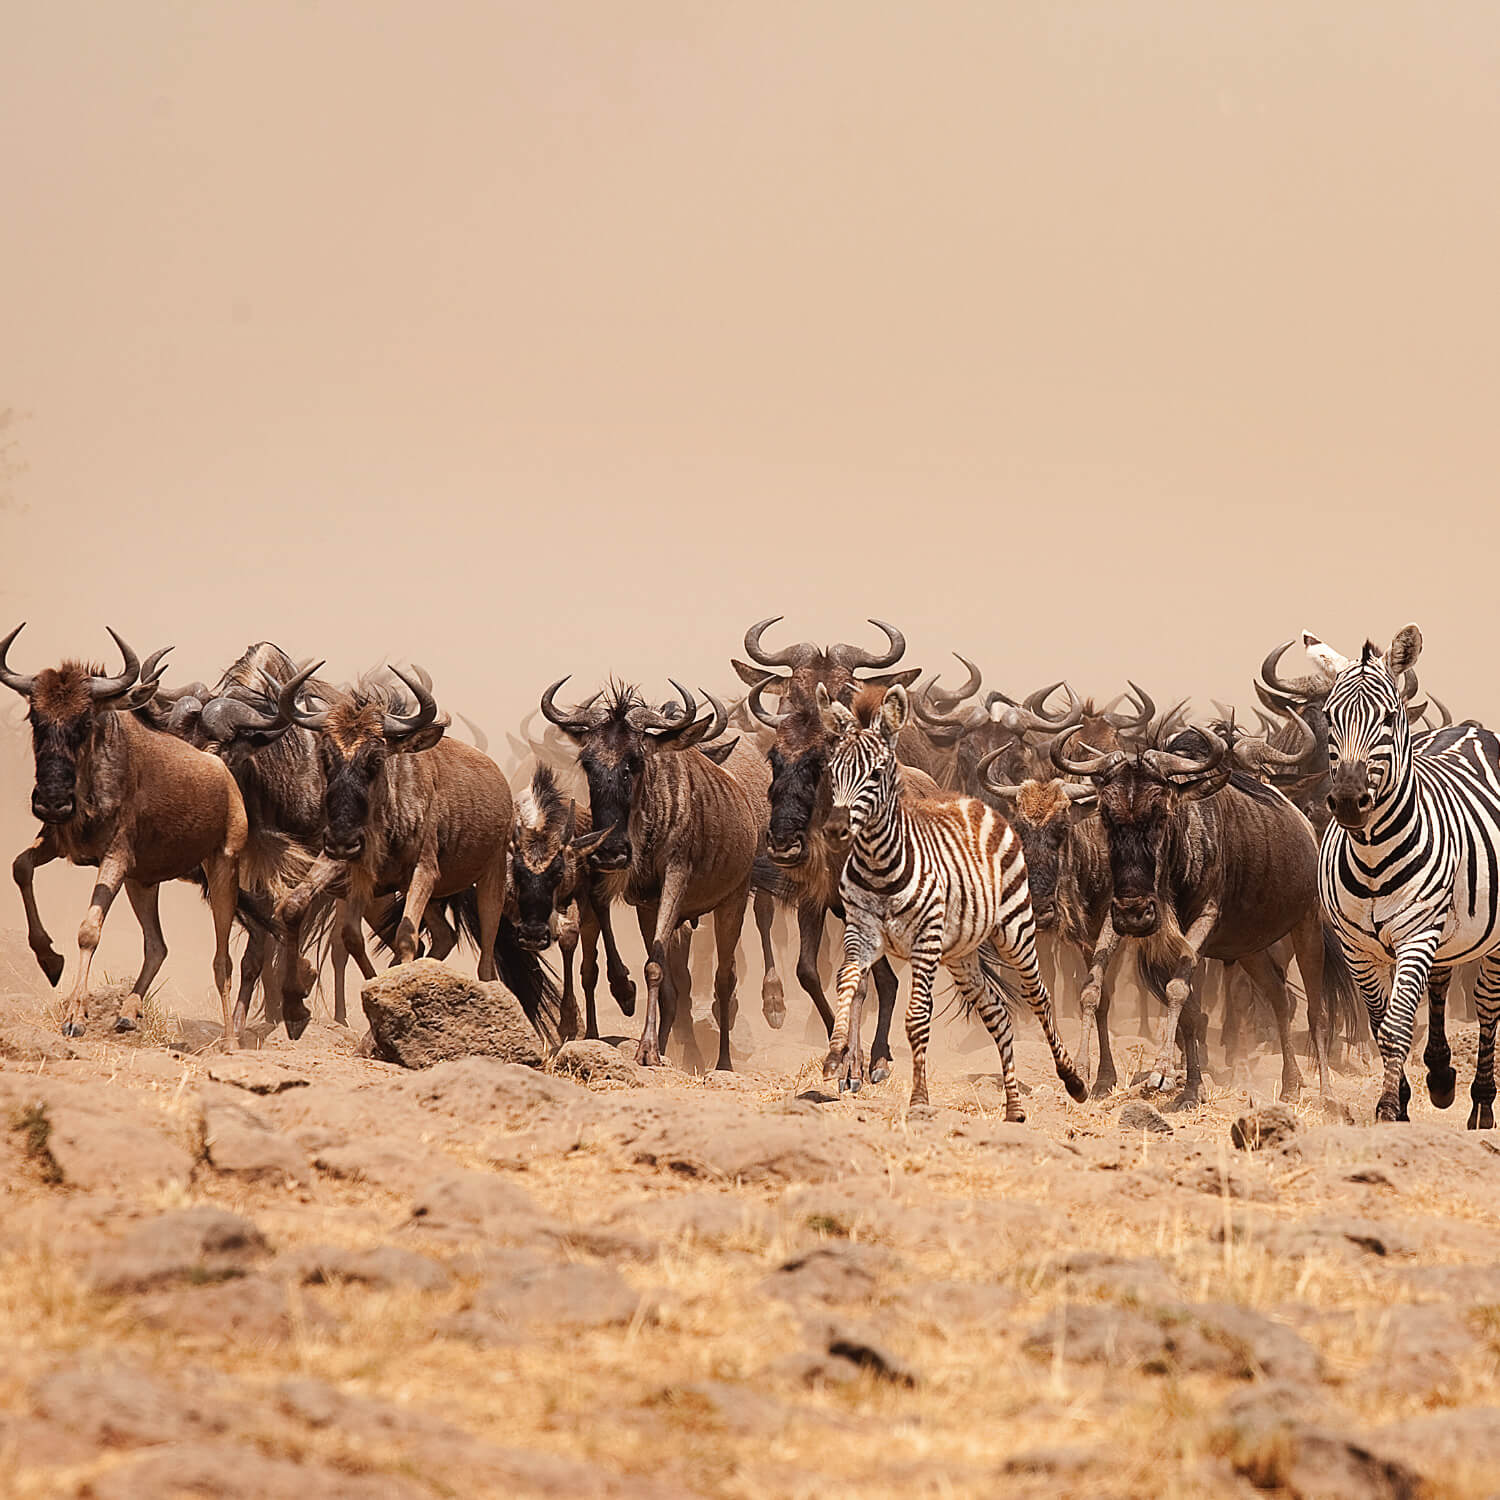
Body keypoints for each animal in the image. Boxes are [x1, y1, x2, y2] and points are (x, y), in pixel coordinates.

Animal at [816, 681, 1086, 1116]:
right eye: (832, 771)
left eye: (877, 772)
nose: (836, 829)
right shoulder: (859, 930)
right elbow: (850, 982)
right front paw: (840, 1060)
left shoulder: (926, 940)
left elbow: (916, 1016)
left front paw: (916, 1097)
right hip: (961, 953)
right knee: (995, 1010)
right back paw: (1013, 1108)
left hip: (1016, 933)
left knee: (1038, 994)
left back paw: (1073, 1081)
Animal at [1302, 621, 1500, 1128]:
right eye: (1328, 717)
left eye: (1390, 717)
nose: (1348, 802)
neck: (1372, 857)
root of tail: (1471, 729)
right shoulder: (1356, 947)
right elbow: (1380, 1025)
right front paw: (1406, 1099)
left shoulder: (1415, 934)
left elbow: (1396, 1026)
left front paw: (1390, 1108)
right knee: (1441, 982)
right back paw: (1442, 1077)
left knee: (1487, 1003)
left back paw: (1481, 1105)